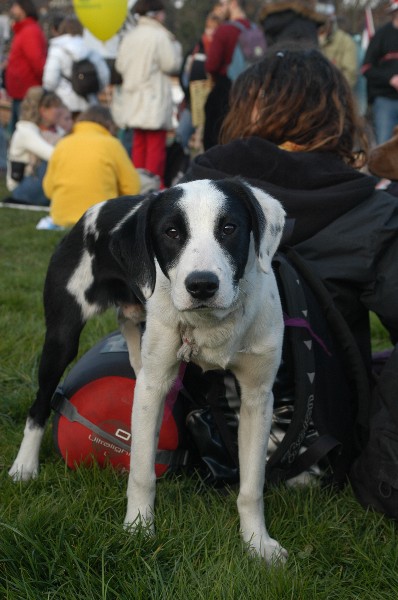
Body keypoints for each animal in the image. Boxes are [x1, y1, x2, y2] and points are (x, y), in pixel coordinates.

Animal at [9, 177, 288, 564]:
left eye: (229, 228)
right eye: (171, 232)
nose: (202, 285)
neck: (211, 326)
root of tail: (92, 212)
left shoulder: (257, 398)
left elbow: (252, 486)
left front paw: (257, 543)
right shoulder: (151, 388)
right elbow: (141, 471)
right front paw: (139, 529)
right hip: (61, 340)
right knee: (39, 405)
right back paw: (24, 466)